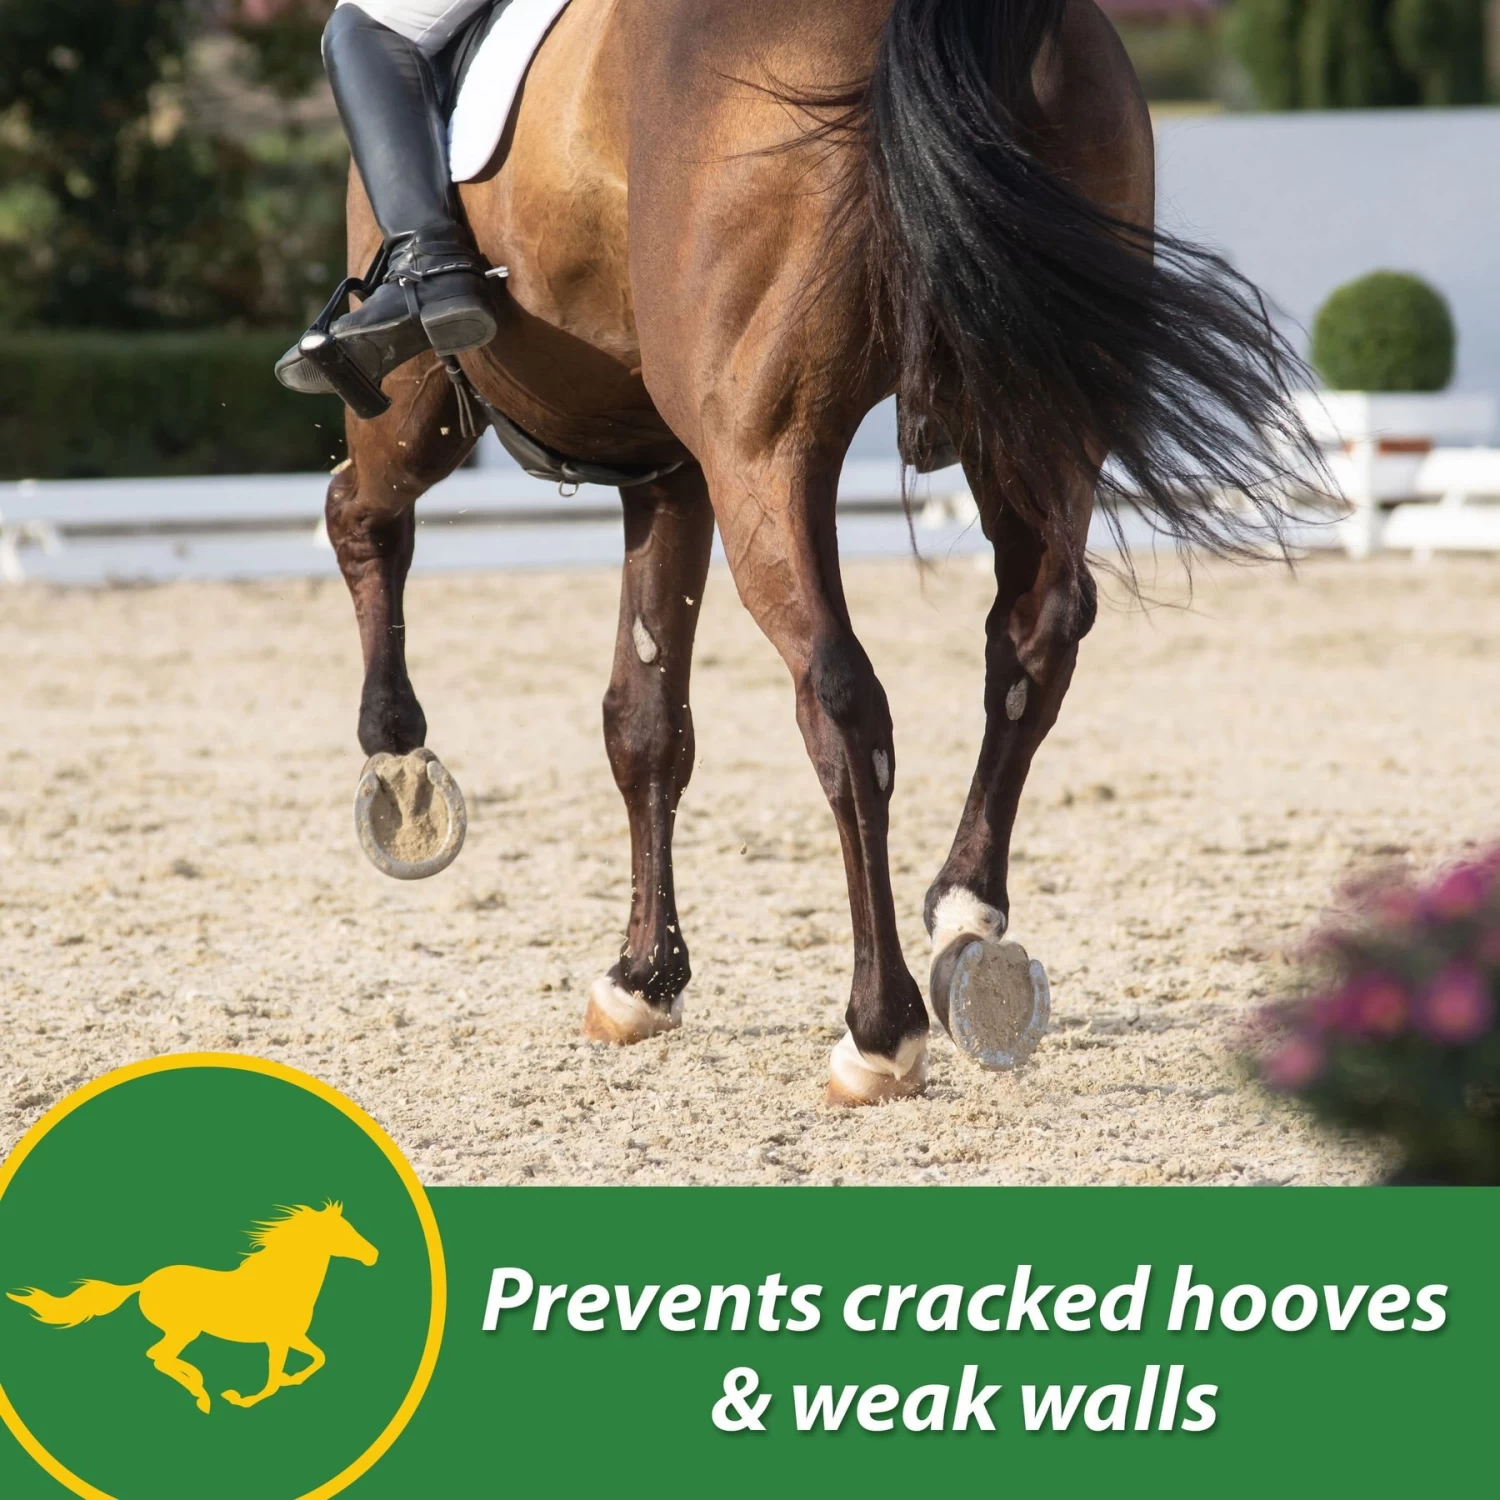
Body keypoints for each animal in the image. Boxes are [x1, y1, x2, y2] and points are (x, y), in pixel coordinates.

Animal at [7, 1202, 377, 1413]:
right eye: (343, 1232)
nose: (373, 1255)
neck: (283, 1283)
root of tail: (143, 1283)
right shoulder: (276, 1340)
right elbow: (272, 1380)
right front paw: (241, 1398)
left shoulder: (293, 1337)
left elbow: (318, 1359)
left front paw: (290, 1380)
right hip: (184, 1330)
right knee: (158, 1356)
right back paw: (202, 1393)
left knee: (159, 1357)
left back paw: (200, 1387)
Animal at [329, 0, 1314, 1104]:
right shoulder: (668, 471)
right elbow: (646, 722)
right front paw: (644, 977)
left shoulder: (474, 414)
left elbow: (370, 523)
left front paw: (399, 760)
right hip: (1030, 410)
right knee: (1033, 639)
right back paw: (968, 923)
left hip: (752, 450)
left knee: (841, 699)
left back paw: (881, 1028)